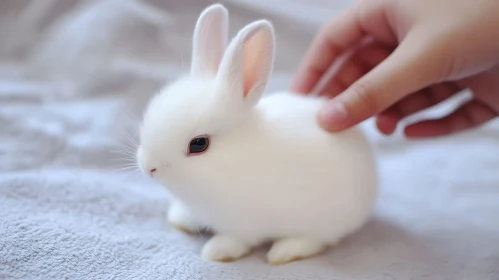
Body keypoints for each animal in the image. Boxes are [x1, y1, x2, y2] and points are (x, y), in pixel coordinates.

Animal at [137, 2, 378, 264]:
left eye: (199, 144)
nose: (149, 168)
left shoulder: (242, 225)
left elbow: (236, 240)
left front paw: (216, 251)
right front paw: (179, 219)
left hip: (325, 221)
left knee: (317, 239)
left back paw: (284, 252)